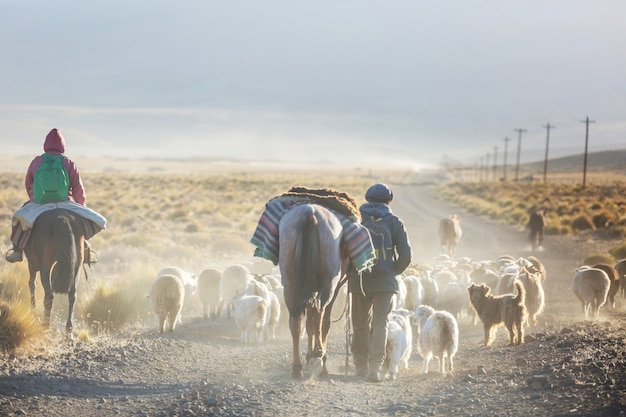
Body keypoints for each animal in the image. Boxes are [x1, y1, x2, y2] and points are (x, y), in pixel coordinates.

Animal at [280, 203, 352, 378]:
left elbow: (309, 322)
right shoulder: (334, 287)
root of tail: (309, 214)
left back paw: (297, 368)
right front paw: (316, 359)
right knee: (319, 311)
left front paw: (309, 357)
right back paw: (319, 354)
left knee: (295, 320)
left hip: (290, 282)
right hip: (329, 283)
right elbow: (323, 322)